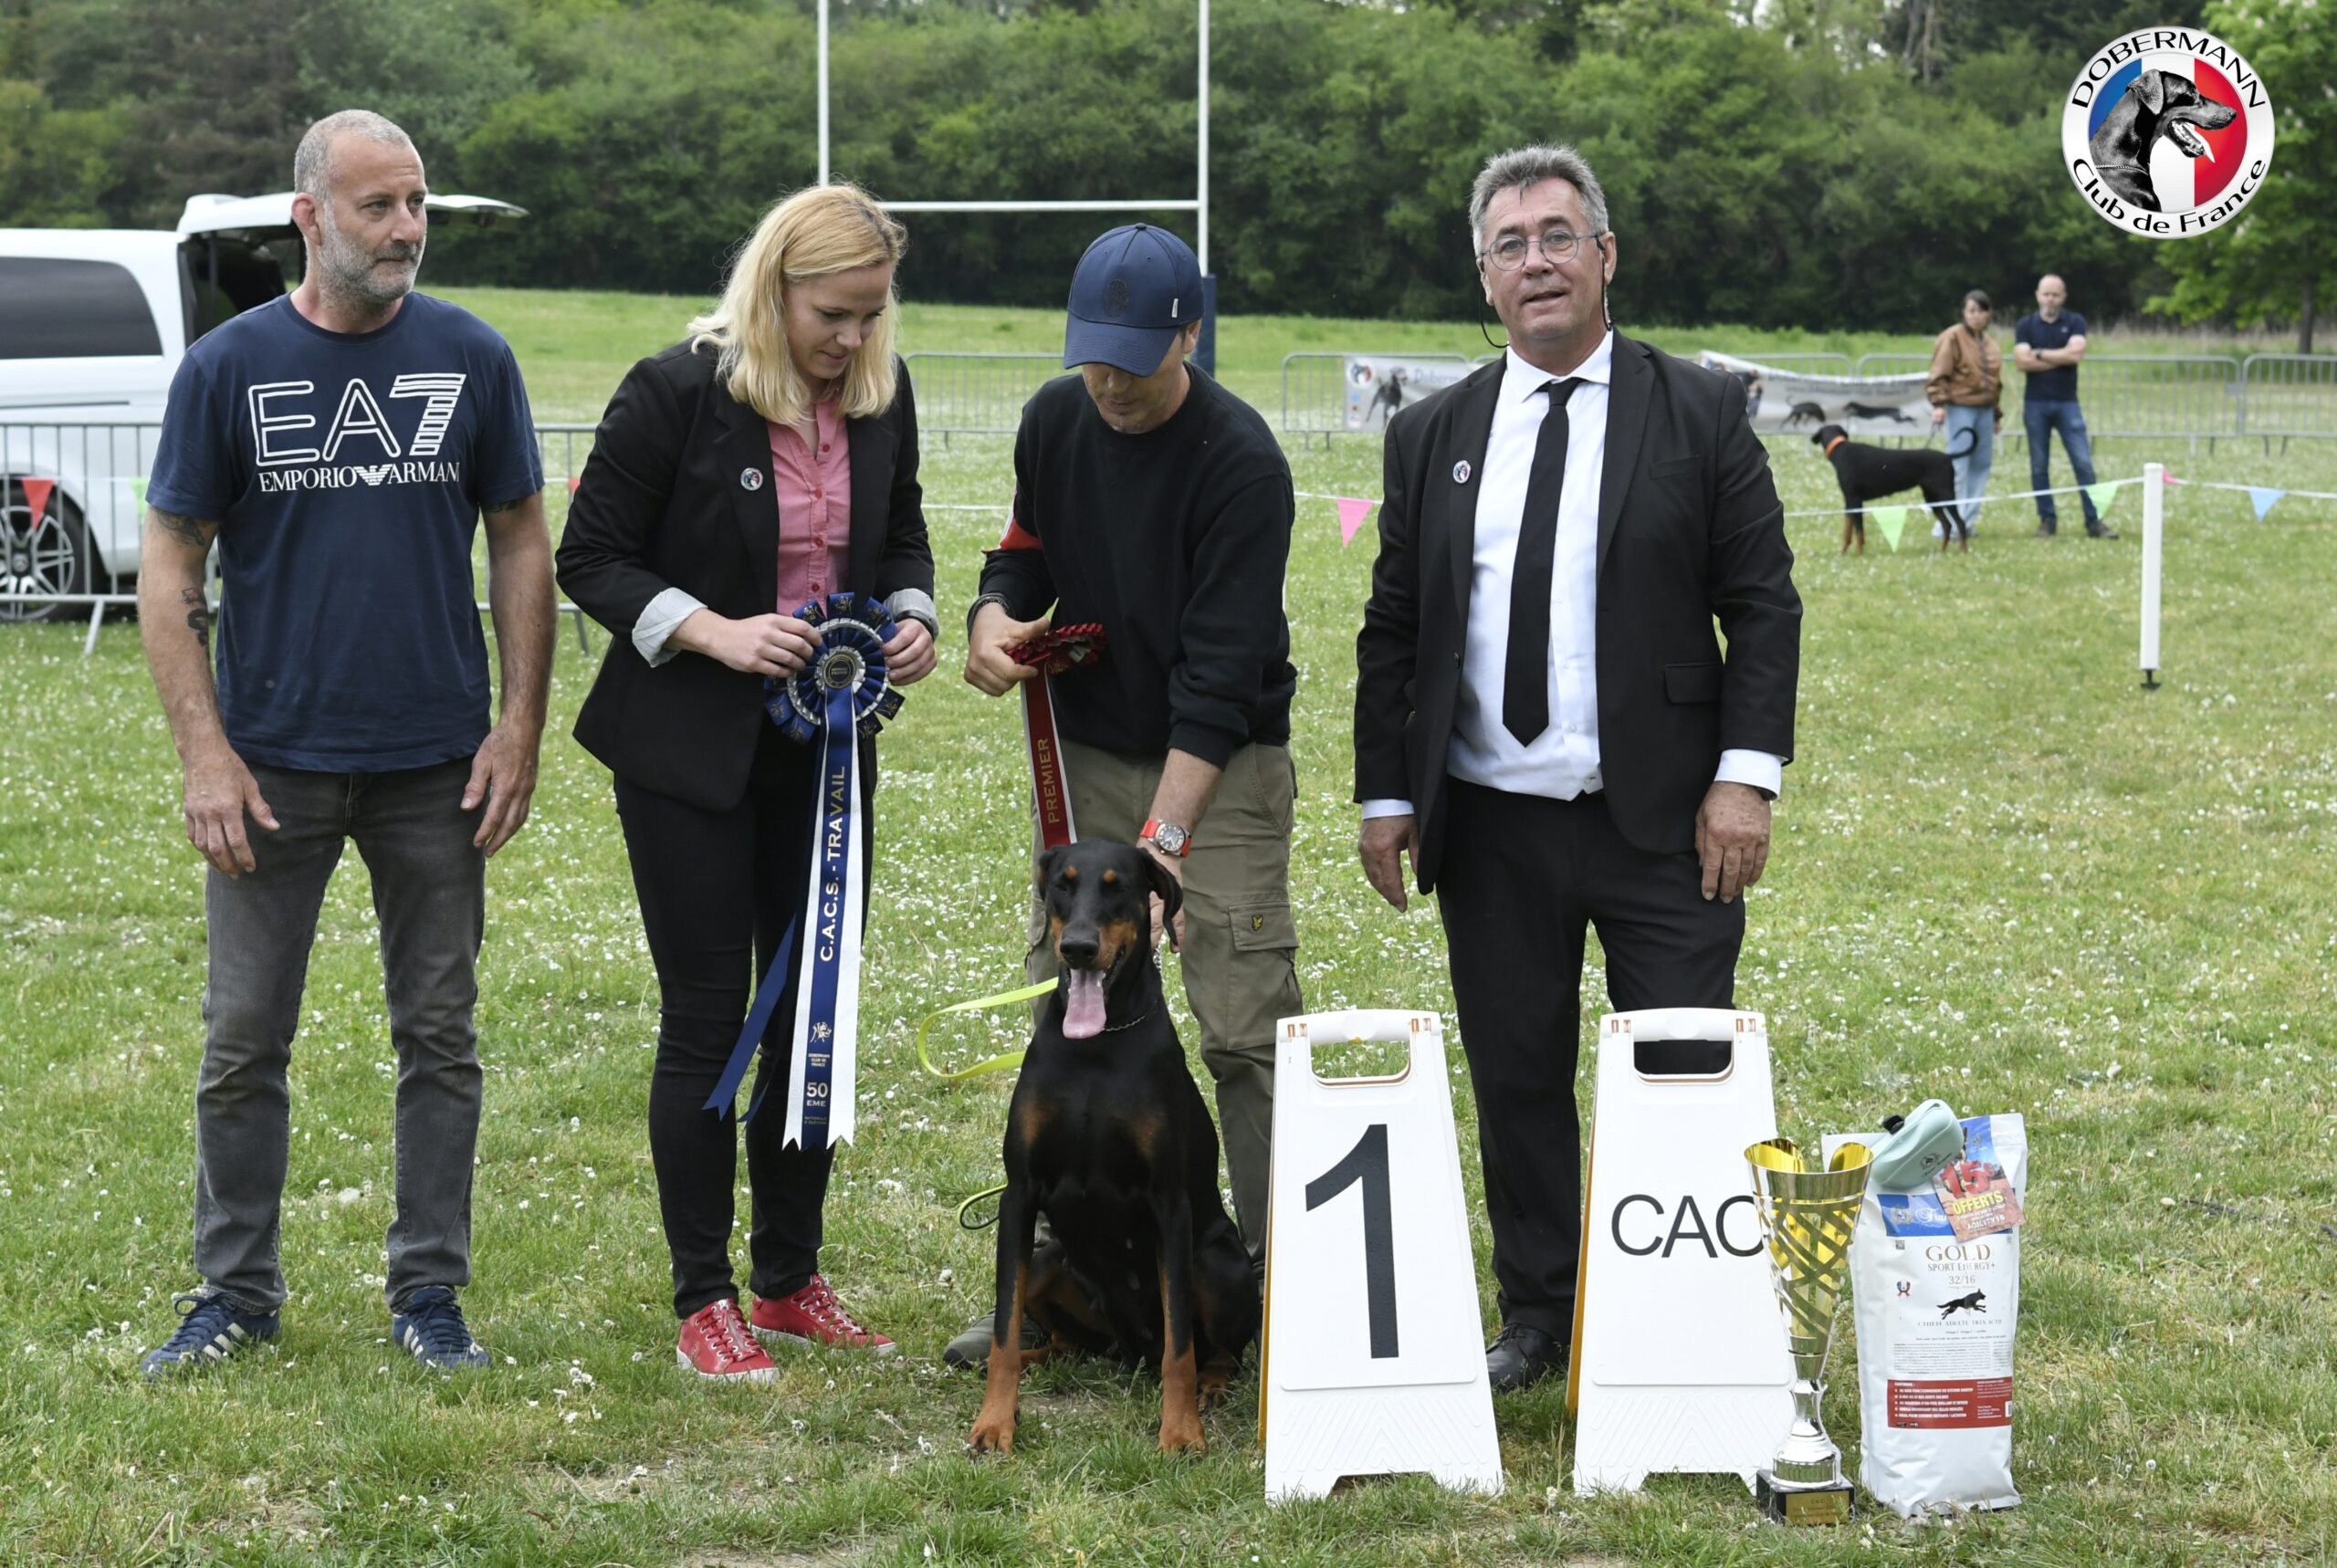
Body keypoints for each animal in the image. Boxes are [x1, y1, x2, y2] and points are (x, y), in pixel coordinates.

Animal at [968, 840, 1260, 1457]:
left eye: (1117, 887)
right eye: (1062, 884)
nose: (1077, 947)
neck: (1096, 1048)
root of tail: (1130, 1351)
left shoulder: (1169, 1202)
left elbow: (1180, 1346)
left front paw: (1181, 1432)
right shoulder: (1020, 1193)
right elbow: (1004, 1328)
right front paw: (994, 1422)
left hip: (1218, 1264)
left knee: (1217, 1351)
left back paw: (1211, 1387)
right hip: (1050, 1259)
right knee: (1063, 1344)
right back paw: (1032, 1359)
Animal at [1812, 422, 1977, 554]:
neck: (1841, 451)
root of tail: (1948, 456)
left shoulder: (1855, 500)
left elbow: (1858, 532)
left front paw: (1858, 554)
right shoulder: (1849, 502)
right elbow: (1847, 530)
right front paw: (1842, 551)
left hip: (1945, 494)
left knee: (1960, 523)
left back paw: (1963, 550)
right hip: (1932, 498)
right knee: (1947, 524)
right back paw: (1941, 551)